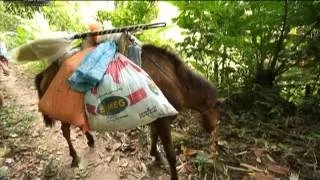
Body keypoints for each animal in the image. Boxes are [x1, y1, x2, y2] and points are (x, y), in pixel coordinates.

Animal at [33, 44, 221, 180]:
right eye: (217, 109)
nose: (212, 129)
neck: (176, 80)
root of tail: (48, 70)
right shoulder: (164, 120)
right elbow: (171, 154)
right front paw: (171, 172)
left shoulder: (156, 116)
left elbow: (153, 136)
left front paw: (155, 155)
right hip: (62, 109)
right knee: (65, 131)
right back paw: (74, 156)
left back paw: (90, 140)